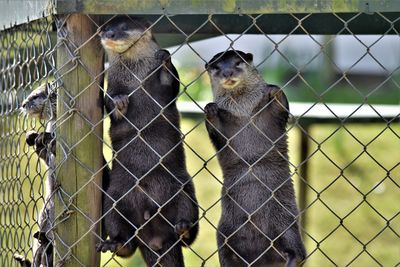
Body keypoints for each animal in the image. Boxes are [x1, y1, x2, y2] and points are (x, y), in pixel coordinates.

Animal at [95, 15, 198, 266]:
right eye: (105, 28)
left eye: (123, 27)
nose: (109, 34)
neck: (135, 74)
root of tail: (154, 238)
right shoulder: (113, 83)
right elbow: (112, 107)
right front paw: (119, 101)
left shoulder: (164, 91)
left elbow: (171, 85)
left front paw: (164, 59)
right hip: (112, 201)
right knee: (127, 245)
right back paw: (115, 243)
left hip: (183, 188)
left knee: (188, 236)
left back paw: (183, 227)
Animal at [205, 50, 304, 267]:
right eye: (216, 67)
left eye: (238, 62)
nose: (227, 72)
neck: (243, 110)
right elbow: (217, 132)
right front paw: (210, 109)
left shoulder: (272, 116)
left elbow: (280, 107)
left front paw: (274, 91)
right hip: (224, 232)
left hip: (285, 222)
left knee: (298, 251)